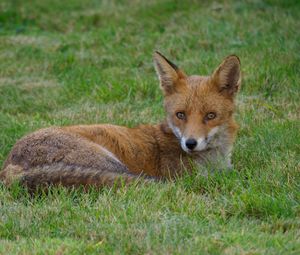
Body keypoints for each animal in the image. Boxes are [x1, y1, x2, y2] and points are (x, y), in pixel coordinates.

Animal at [0, 51, 240, 190]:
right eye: (180, 115)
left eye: (210, 116)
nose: (190, 143)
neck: (213, 161)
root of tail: (9, 165)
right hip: (113, 164)